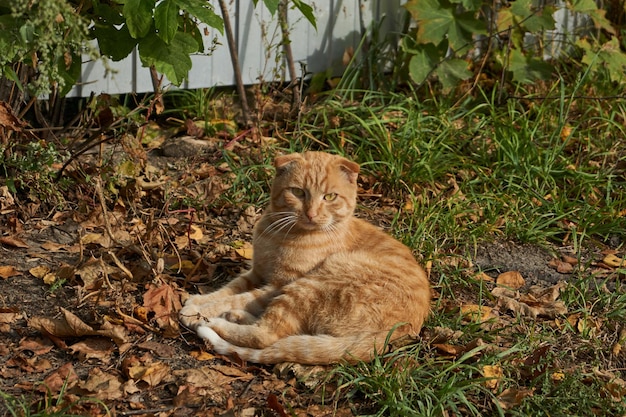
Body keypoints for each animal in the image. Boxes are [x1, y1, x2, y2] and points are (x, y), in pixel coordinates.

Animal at [177, 151, 428, 362]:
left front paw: (196, 312)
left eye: (330, 196)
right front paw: (199, 300)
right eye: (298, 192)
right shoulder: (256, 273)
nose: (311, 213)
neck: (282, 234)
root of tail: (392, 335)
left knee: (267, 335)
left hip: (310, 285)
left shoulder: (278, 285)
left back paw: (215, 321)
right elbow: (229, 289)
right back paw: (236, 316)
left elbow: (237, 298)